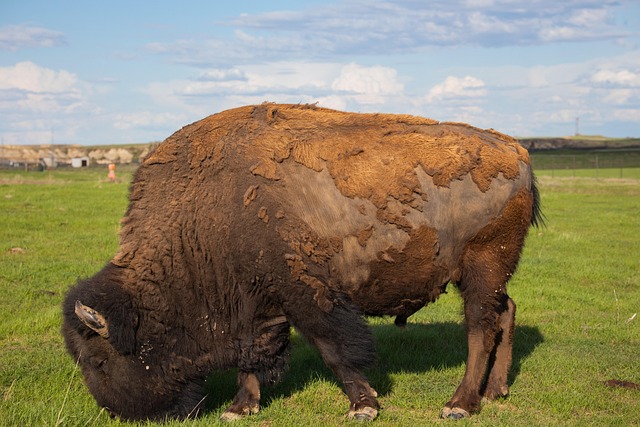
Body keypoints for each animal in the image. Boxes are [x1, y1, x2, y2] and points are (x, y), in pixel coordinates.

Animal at [62, 103, 542, 421]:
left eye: (98, 360)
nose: (115, 413)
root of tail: (516, 151)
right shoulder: (255, 303)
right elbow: (252, 356)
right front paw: (240, 408)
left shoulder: (308, 295)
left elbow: (335, 350)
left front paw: (363, 407)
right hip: (491, 274)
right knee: (505, 312)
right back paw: (496, 391)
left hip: (481, 267)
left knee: (480, 328)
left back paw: (459, 404)